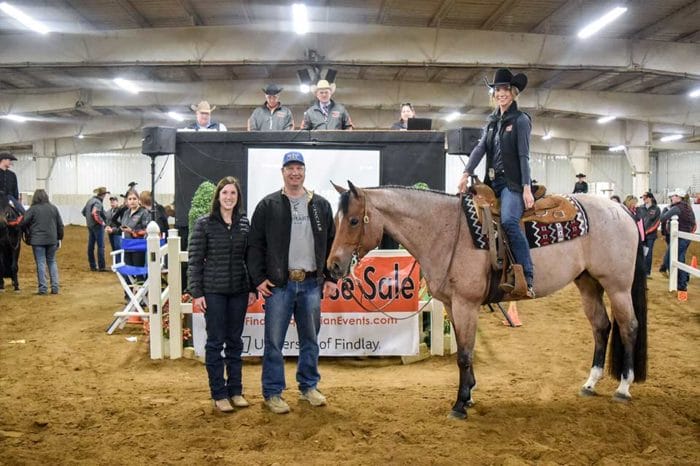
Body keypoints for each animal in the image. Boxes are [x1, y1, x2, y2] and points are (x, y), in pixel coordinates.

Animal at [327, 182, 647, 420]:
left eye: (353, 221)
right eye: (336, 220)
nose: (333, 266)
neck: (443, 230)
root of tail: (620, 209)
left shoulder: (465, 304)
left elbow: (465, 354)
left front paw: (459, 404)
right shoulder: (451, 305)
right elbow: (463, 350)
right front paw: (468, 394)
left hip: (617, 286)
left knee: (629, 326)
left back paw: (623, 387)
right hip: (588, 283)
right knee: (601, 326)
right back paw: (590, 383)